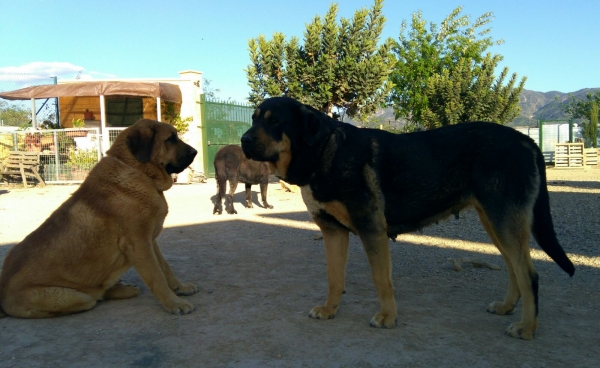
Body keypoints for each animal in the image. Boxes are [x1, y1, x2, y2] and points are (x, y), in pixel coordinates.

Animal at [0, 119, 202, 318]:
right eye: (171, 139)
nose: (196, 152)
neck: (138, 170)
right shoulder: (139, 244)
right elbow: (156, 276)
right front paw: (174, 303)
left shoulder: (150, 241)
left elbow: (165, 268)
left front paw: (180, 288)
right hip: (74, 297)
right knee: (94, 297)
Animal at [240, 97, 576, 340]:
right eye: (254, 119)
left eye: (274, 121)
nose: (243, 140)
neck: (323, 151)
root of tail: (526, 140)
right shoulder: (333, 232)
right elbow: (335, 278)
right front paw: (330, 309)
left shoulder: (372, 230)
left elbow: (381, 280)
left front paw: (388, 317)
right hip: (494, 222)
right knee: (513, 269)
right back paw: (507, 307)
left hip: (504, 221)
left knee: (529, 274)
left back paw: (527, 328)